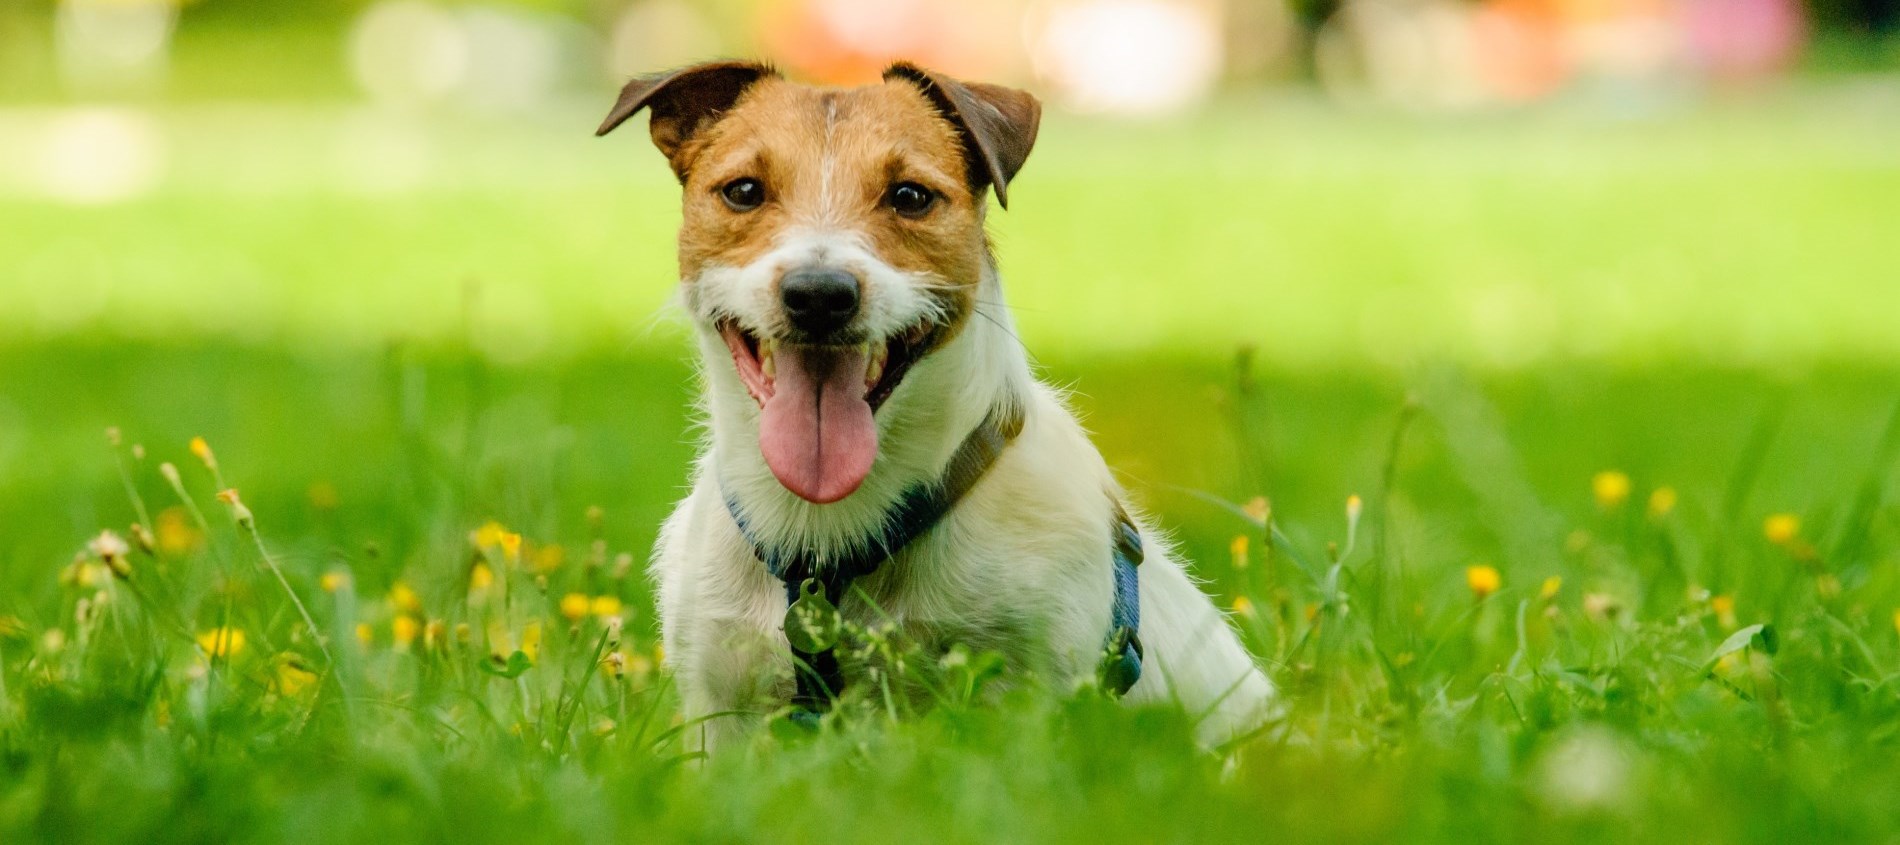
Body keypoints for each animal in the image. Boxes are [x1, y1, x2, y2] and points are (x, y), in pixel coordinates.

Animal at [600, 62, 1269, 751]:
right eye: (743, 191)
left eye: (911, 196)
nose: (819, 295)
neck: (827, 536)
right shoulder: (719, 705)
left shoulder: (1029, 691)